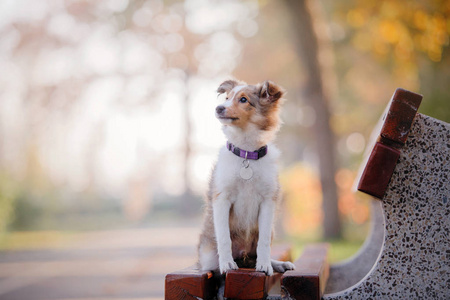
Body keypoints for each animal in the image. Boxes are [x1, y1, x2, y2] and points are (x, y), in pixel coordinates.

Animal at [197, 79, 296, 282]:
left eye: (243, 100)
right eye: (227, 98)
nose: (218, 108)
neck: (247, 154)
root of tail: (242, 256)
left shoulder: (268, 201)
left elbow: (263, 242)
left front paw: (265, 266)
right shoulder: (222, 198)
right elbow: (224, 238)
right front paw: (227, 264)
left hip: (270, 231)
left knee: (256, 254)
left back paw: (277, 264)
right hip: (208, 255)